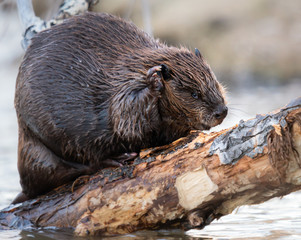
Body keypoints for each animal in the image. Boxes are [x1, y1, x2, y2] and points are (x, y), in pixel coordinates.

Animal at [12, 11, 226, 202]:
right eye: (194, 93)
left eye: (215, 83)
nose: (221, 112)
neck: (137, 67)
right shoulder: (125, 87)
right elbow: (126, 119)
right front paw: (155, 80)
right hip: (41, 145)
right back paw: (118, 158)